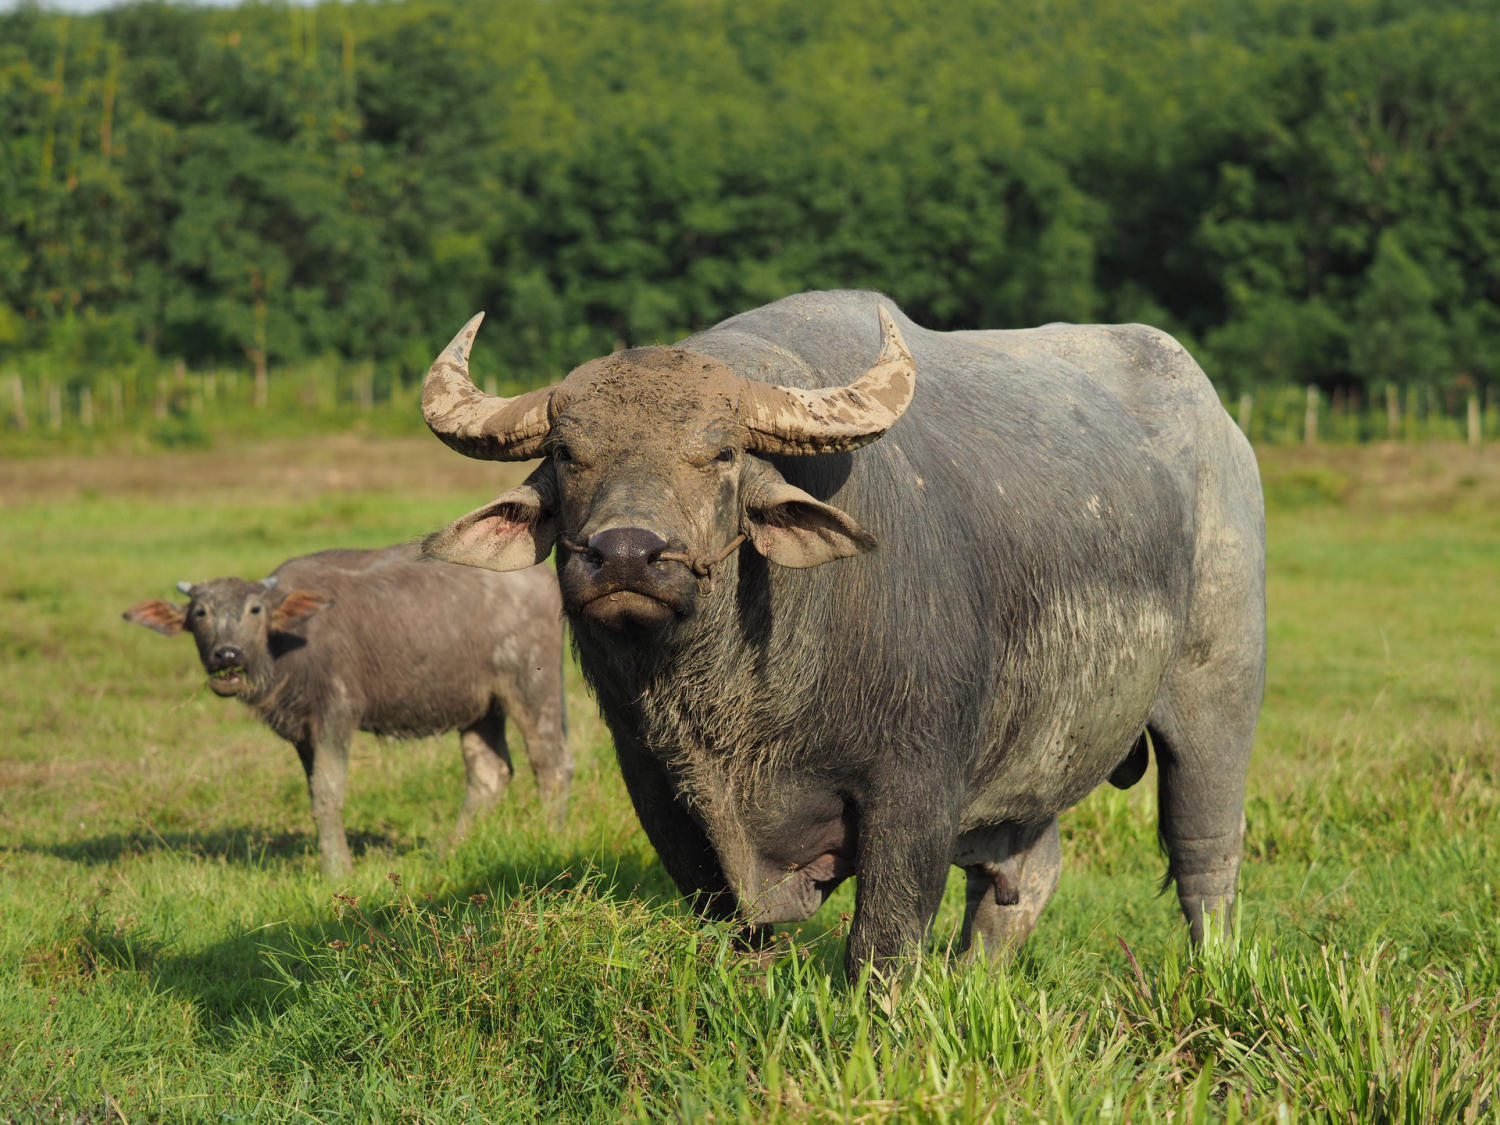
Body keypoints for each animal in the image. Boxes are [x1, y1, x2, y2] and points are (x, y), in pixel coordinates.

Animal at [121, 543, 567, 876]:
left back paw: (550, 836)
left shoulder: (335, 715)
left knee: (551, 764)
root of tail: (544, 580)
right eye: (200, 613)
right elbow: (314, 792)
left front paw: (337, 869)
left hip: (534, 685)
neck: (288, 643)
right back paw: (449, 851)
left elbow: (329, 790)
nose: (226, 654)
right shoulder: (302, 733)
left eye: (255, 610)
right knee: (489, 772)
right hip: (480, 707)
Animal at [417, 288, 1260, 972]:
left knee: (1204, 851)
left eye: (722, 452)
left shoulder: (915, 786)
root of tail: (1224, 431)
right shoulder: (659, 792)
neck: (741, 700)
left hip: (1217, 695)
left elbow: (880, 944)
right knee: (1024, 876)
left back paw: (1213, 969)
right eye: (567, 452)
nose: (625, 553)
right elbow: (736, 928)